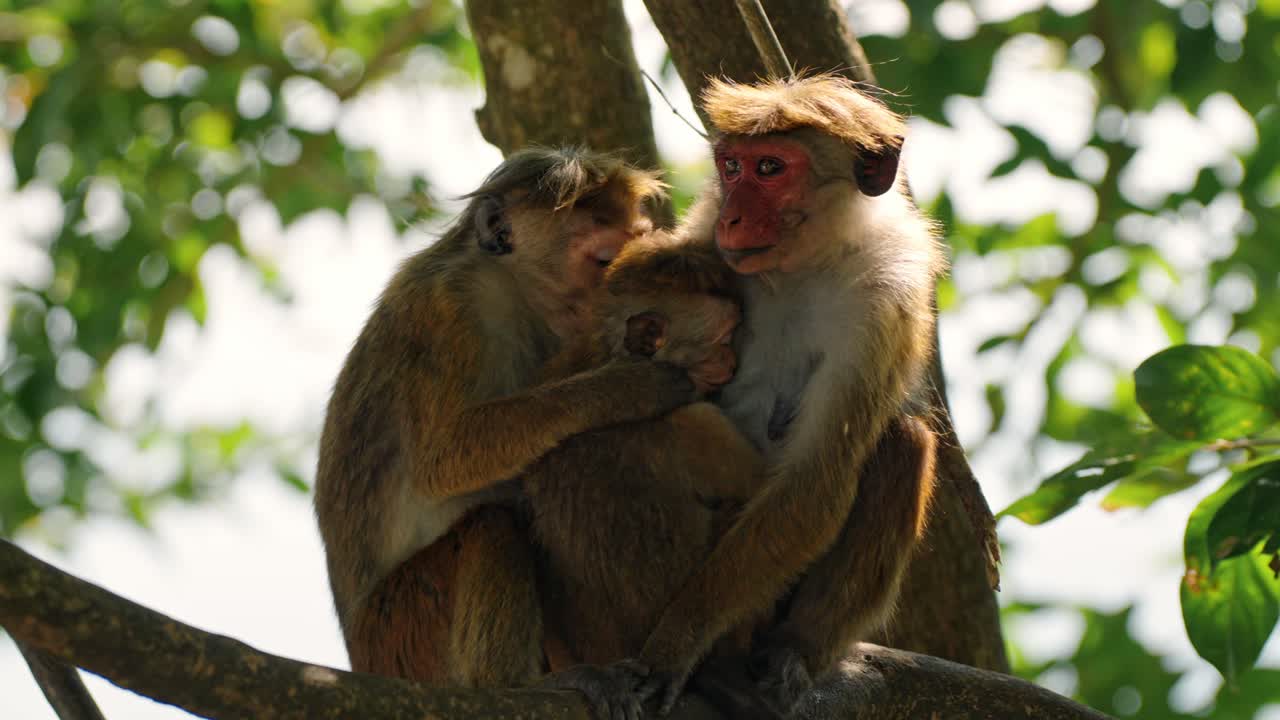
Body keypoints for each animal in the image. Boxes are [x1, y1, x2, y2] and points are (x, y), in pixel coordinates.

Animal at [312, 147, 745, 702]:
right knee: (491, 526)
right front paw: (627, 388)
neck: (514, 295)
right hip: (404, 634)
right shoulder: (449, 309)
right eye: (601, 260)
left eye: (630, 244)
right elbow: (439, 461)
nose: (609, 297)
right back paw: (514, 684)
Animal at [577, 74, 946, 716]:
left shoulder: (887, 295)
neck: (804, 263)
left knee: (903, 441)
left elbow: (816, 477)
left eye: (771, 167)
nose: (734, 217)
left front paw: (676, 642)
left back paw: (792, 651)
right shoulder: (704, 235)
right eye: (732, 167)